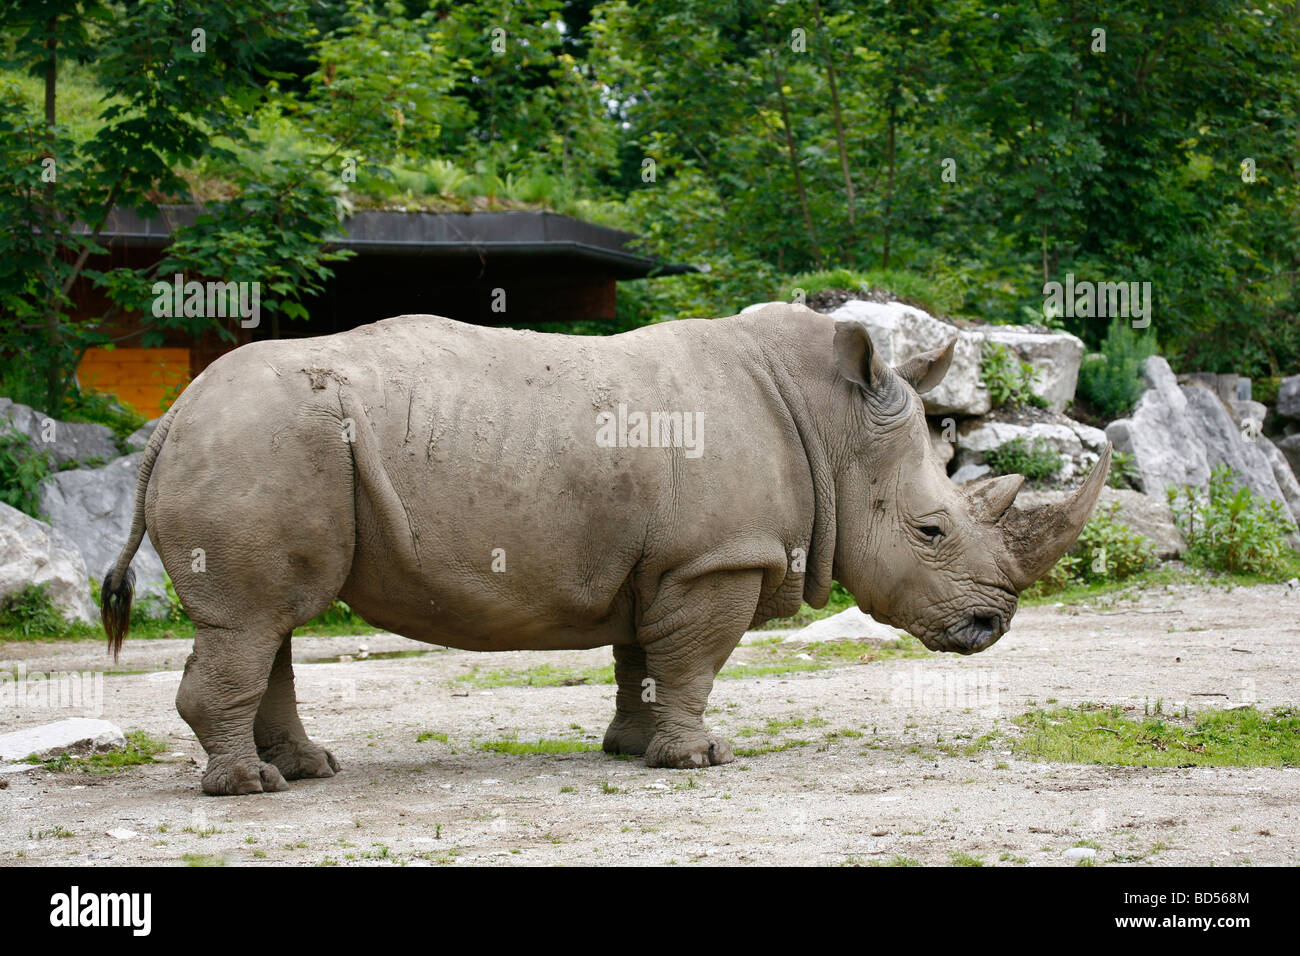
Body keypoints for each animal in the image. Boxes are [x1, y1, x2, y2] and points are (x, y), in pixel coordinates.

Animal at [101, 305, 1109, 795]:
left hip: (266, 443)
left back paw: (305, 771)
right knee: (255, 618)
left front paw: (630, 750)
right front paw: (698, 763)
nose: (991, 625)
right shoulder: (717, 557)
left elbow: (644, 658)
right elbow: (694, 660)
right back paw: (251, 789)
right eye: (931, 532)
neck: (833, 426)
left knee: (273, 620)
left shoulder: (662, 560)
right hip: (263, 441)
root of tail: (172, 416)